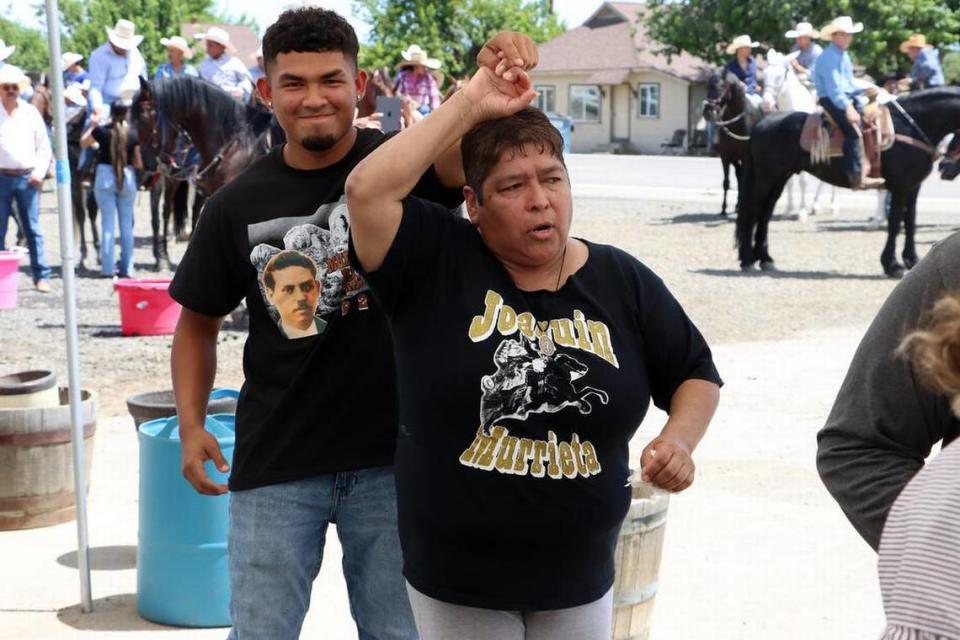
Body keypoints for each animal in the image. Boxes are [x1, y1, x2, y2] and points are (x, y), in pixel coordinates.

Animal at [704, 70, 756, 215]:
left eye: (722, 86)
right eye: (707, 86)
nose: (708, 111)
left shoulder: (745, 157)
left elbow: (744, 180)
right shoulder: (726, 157)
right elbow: (726, 183)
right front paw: (723, 208)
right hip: (734, 159)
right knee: (738, 176)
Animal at [736, 86, 960, 276]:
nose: (944, 167)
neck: (910, 128)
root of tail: (761, 123)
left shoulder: (913, 187)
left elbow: (911, 221)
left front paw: (912, 260)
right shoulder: (900, 186)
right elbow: (896, 222)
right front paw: (892, 265)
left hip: (779, 178)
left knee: (765, 213)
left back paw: (765, 259)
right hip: (766, 178)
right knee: (754, 210)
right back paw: (747, 259)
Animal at [760, 49, 836, 222]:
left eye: (779, 76)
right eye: (764, 75)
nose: (766, 103)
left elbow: (803, 181)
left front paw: (801, 212)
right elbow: (789, 182)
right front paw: (788, 209)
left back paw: (832, 206)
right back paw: (816, 206)